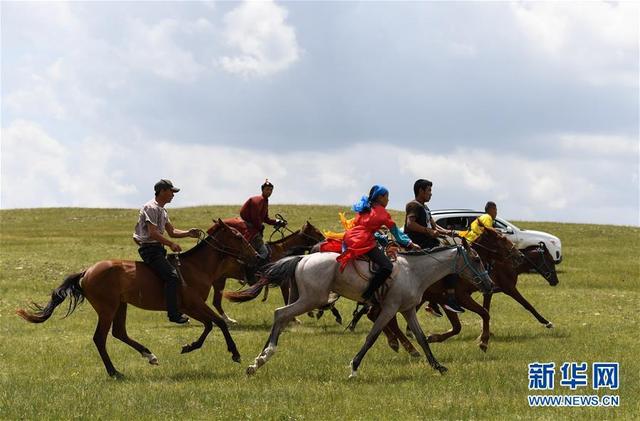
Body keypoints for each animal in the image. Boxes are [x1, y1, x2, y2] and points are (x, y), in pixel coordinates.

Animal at [16, 220, 258, 378]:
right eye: (238, 236)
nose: (256, 256)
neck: (197, 267)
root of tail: (87, 272)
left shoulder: (193, 307)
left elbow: (210, 324)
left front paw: (190, 346)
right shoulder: (193, 305)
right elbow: (217, 323)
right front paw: (234, 353)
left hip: (120, 306)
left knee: (119, 333)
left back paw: (149, 355)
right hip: (107, 308)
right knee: (100, 338)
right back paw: (115, 372)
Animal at [224, 240, 490, 378]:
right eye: (477, 259)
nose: (488, 283)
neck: (414, 271)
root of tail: (303, 258)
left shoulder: (407, 310)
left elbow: (423, 339)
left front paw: (438, 366)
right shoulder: (389, 309)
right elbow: (372, 337)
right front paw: (353, 367)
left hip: (304, 297)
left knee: (281, 317)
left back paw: (258, 361)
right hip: (312, 299)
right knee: (280, 314)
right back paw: (262, 358)